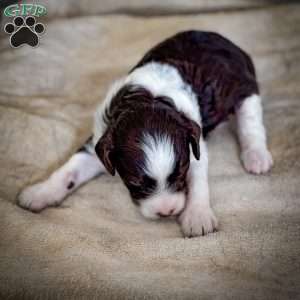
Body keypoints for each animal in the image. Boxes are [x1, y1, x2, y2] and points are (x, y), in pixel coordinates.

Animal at [17, 30, 274, 237]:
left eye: (180, 174)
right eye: (134, 184)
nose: (167, 212)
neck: (147, 99)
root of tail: (229, 43)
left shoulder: (194, 147)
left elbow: (199, 181)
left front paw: (197, 216)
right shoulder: (100, 141)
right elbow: (69, 170)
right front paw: (39, 192)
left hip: (243, 88)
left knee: (251, 122)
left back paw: (256, 156)